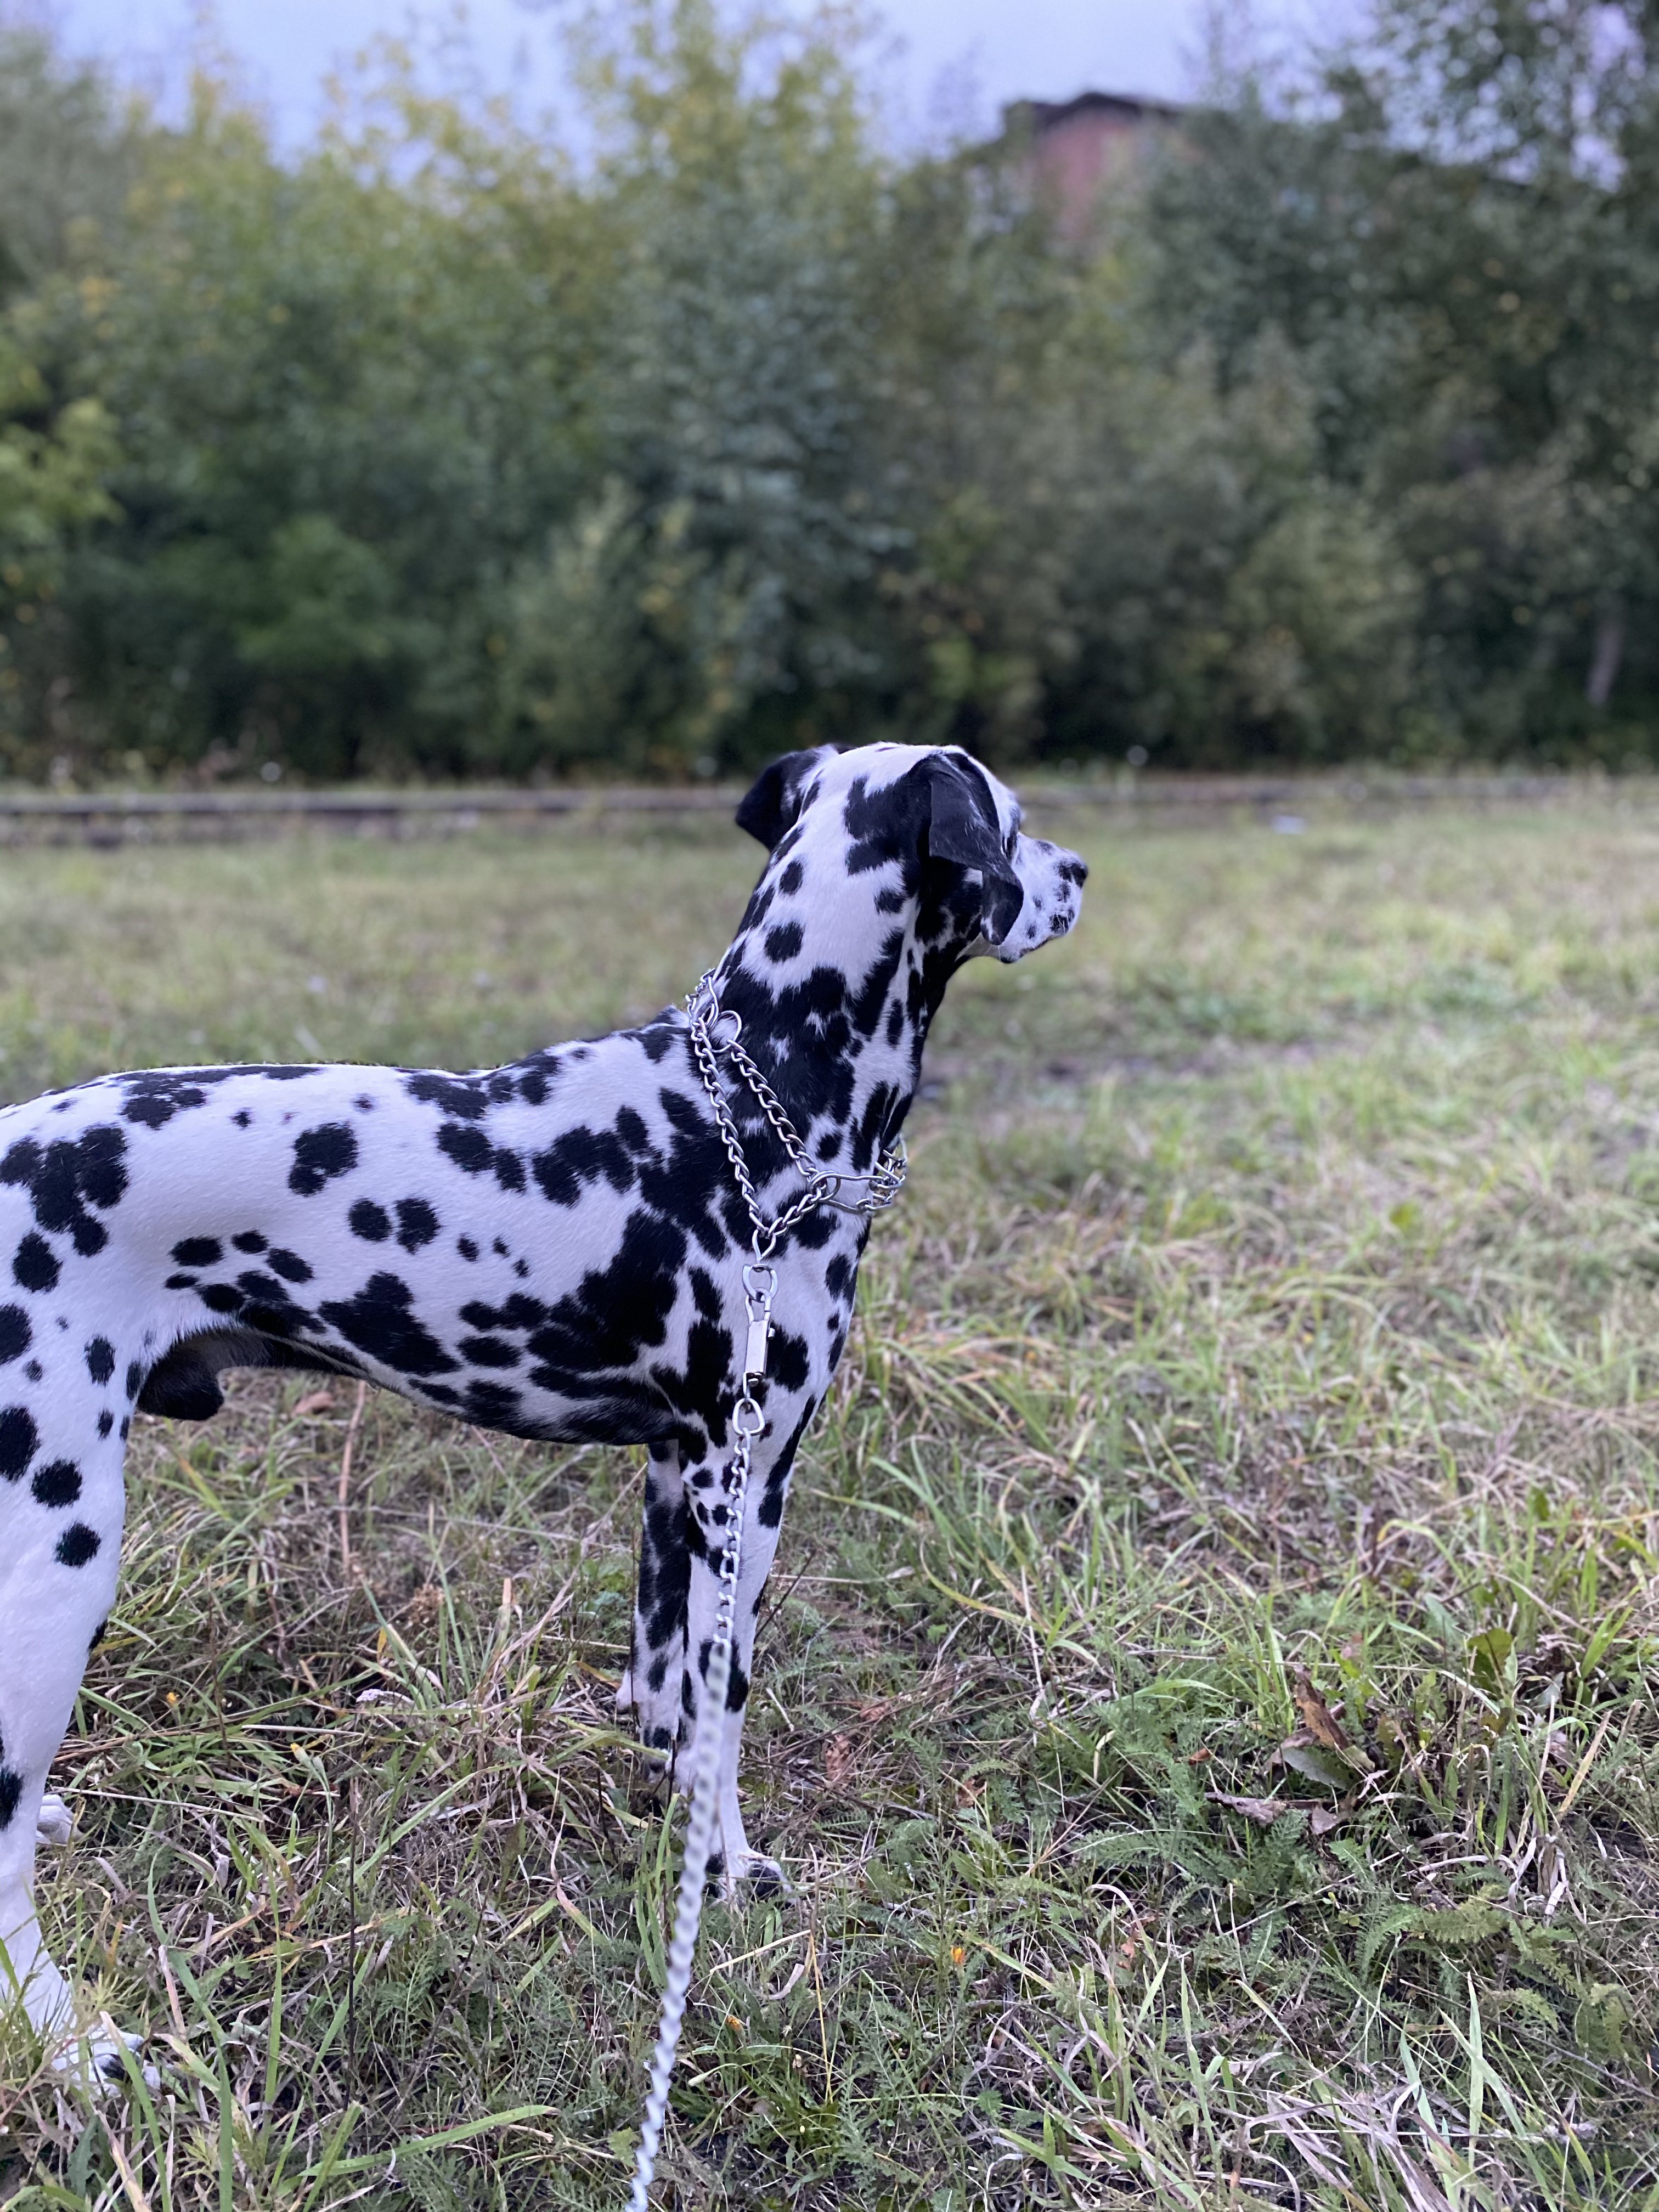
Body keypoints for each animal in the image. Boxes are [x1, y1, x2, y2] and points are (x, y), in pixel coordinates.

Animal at [0, 743, 1092, 2070]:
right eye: (1016, 824)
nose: (1081, 872)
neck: (752, 1111)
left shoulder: (678, 1486)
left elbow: (668, 1701)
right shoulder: (745, 1494)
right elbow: (725, 1719)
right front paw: (730, 1875)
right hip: (57, 1564)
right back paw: (71, 2044)